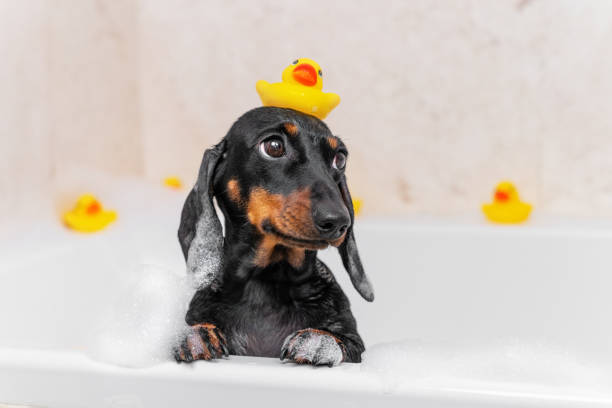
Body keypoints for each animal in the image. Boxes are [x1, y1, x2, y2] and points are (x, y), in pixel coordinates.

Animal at [173, 106, 372, 366]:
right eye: (274, 146)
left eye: (340, 158)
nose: (339, 221)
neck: (268, 281)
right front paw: (196, 336)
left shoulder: (355, 345)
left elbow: (339, 339)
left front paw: (319, 340)